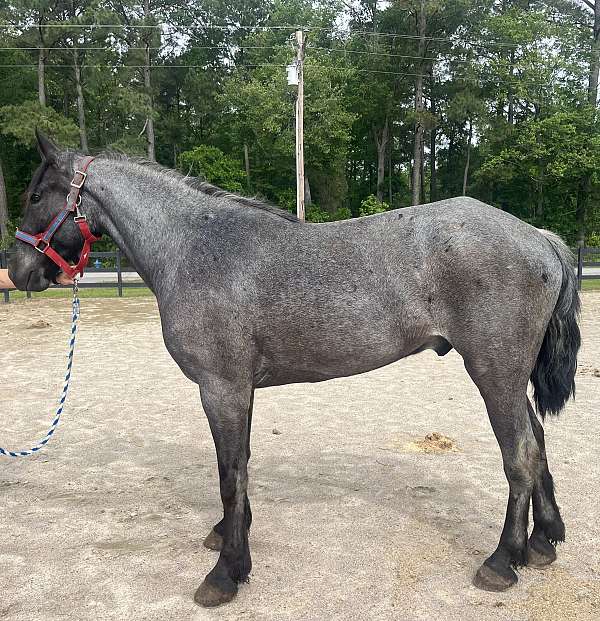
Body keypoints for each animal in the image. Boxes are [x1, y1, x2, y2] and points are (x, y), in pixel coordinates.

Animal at [9, 134, 580, 604]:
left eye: (36, 196)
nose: (18, 272)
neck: (194, 249)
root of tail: (539, 237)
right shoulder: (240, 389)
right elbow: (239, 465)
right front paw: (229, 535)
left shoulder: (220, 388)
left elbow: (230, 475)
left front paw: (226, 572)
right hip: (508, 377)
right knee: (537, 444)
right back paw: (542, 541)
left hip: (494, 373)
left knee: (520, 455)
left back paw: (502, 561)